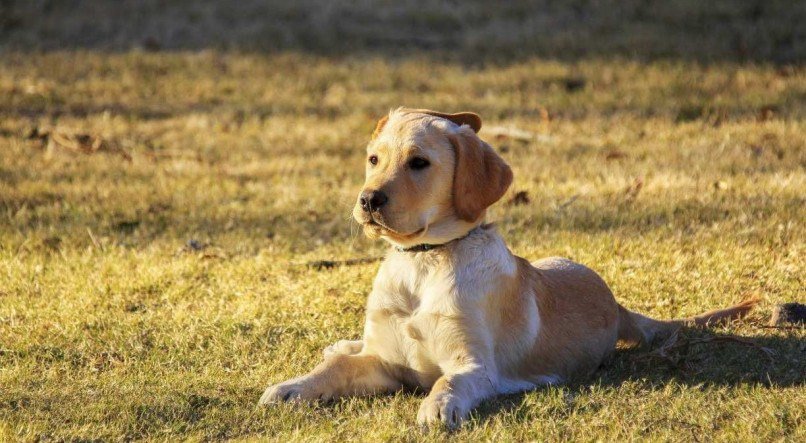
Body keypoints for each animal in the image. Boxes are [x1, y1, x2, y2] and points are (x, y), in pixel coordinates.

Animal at [260, 107, 764, 430]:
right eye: (373, 159)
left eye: (419, 163)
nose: (368, 200)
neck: (423, 261)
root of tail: (616, 304)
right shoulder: (383, 361)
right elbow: (337, 369)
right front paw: (292, 387)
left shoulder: (474, 366)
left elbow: (446, 380)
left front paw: (437, 407)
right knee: (346, 349)